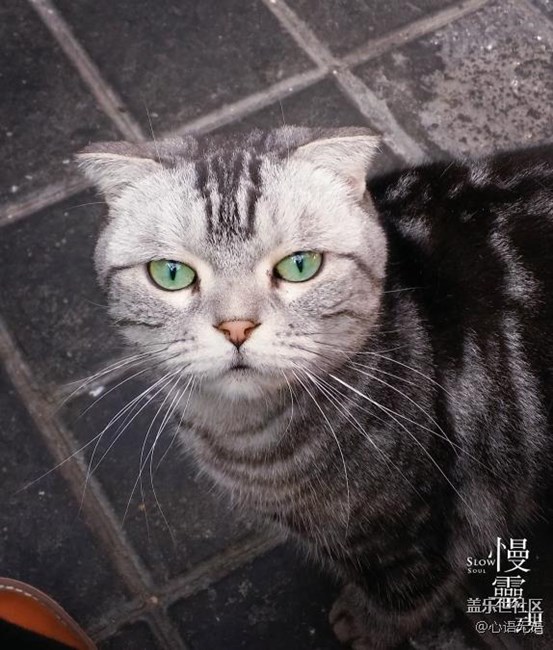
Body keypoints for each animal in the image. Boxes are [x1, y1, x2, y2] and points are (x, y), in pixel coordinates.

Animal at [77, 127, 553, 649]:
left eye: (300, 266)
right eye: (171, 274)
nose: (237, 327)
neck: (246, 438)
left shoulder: (408, 529)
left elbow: (401, 590)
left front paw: (367, 625)